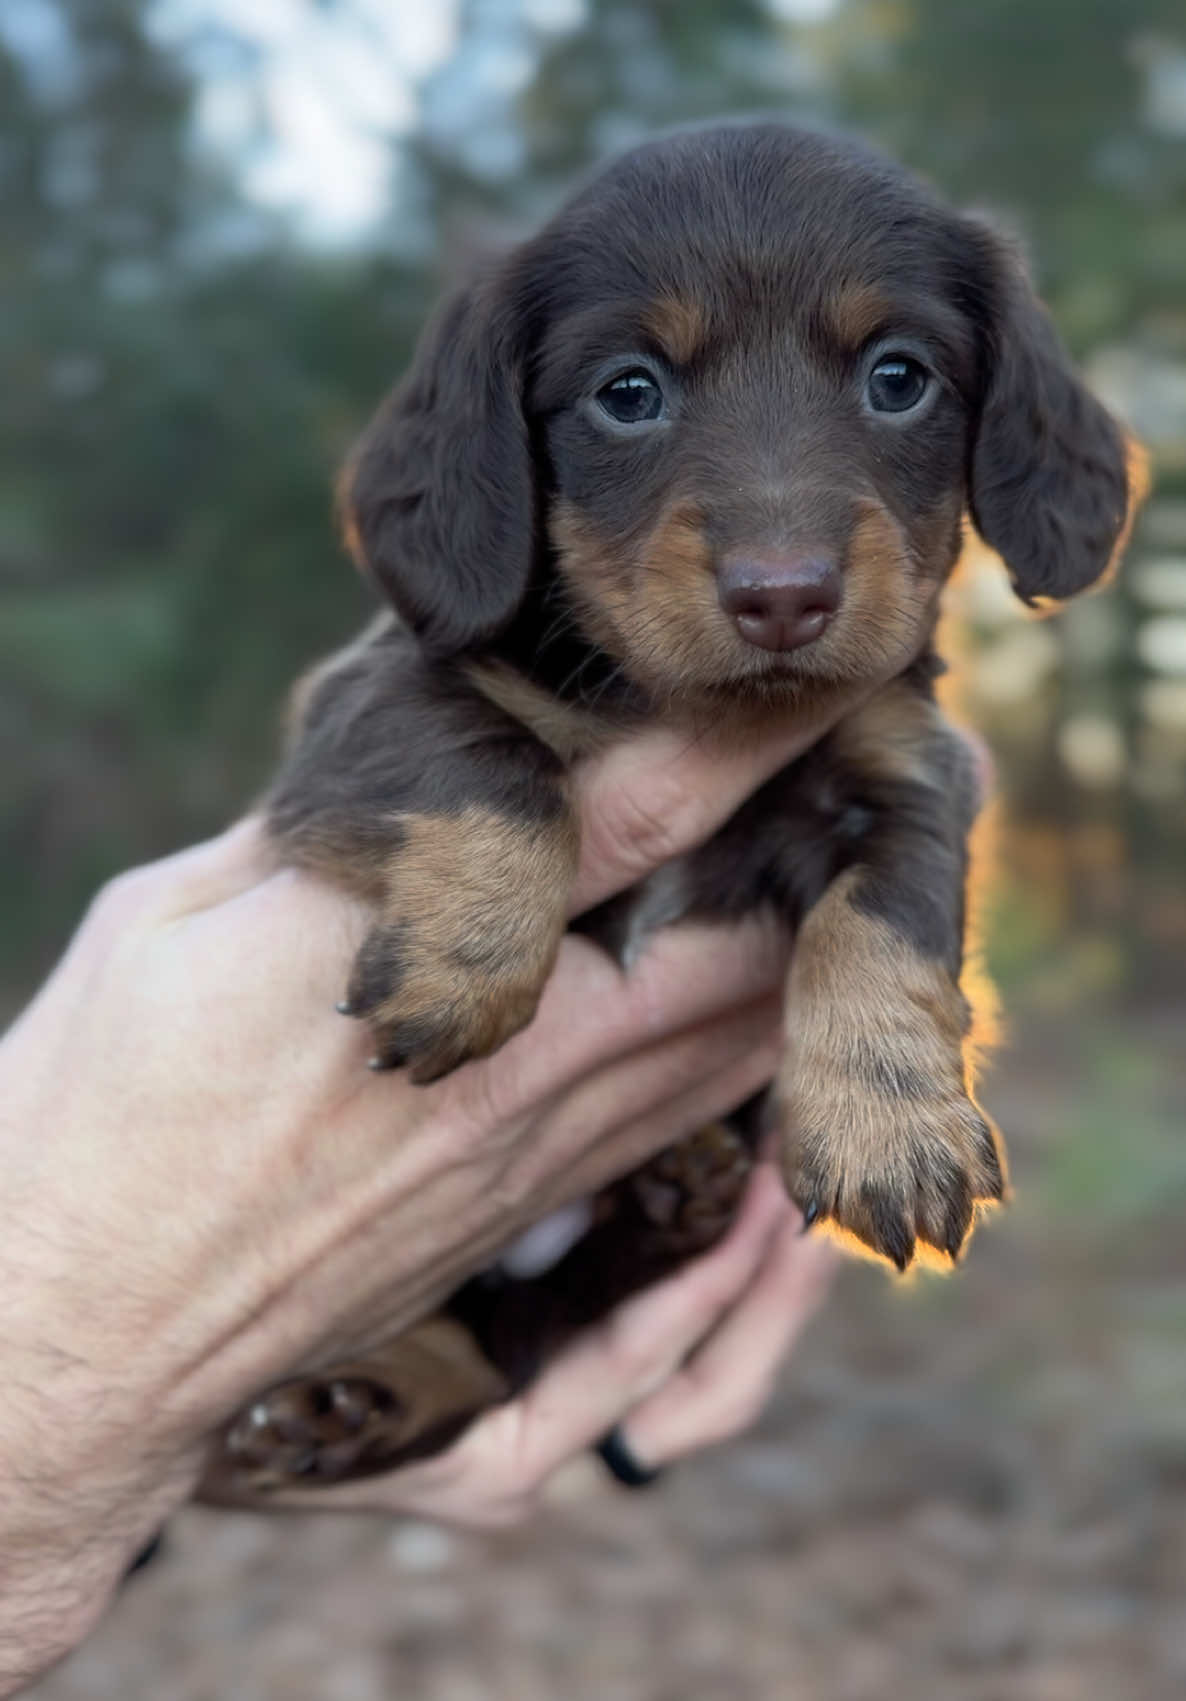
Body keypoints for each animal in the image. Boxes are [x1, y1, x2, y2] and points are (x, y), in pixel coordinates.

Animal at [201, 123, 1129, 1503]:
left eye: (898, 377)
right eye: (627, 392)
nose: (783, 596)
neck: (689, 704)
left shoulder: (911, 775)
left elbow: (883, 920)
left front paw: (887, 1124)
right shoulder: (362, 705)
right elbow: (491, 761)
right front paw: (468, 964)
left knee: (526, 1327)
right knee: (494, 1331)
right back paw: (346, 1402)